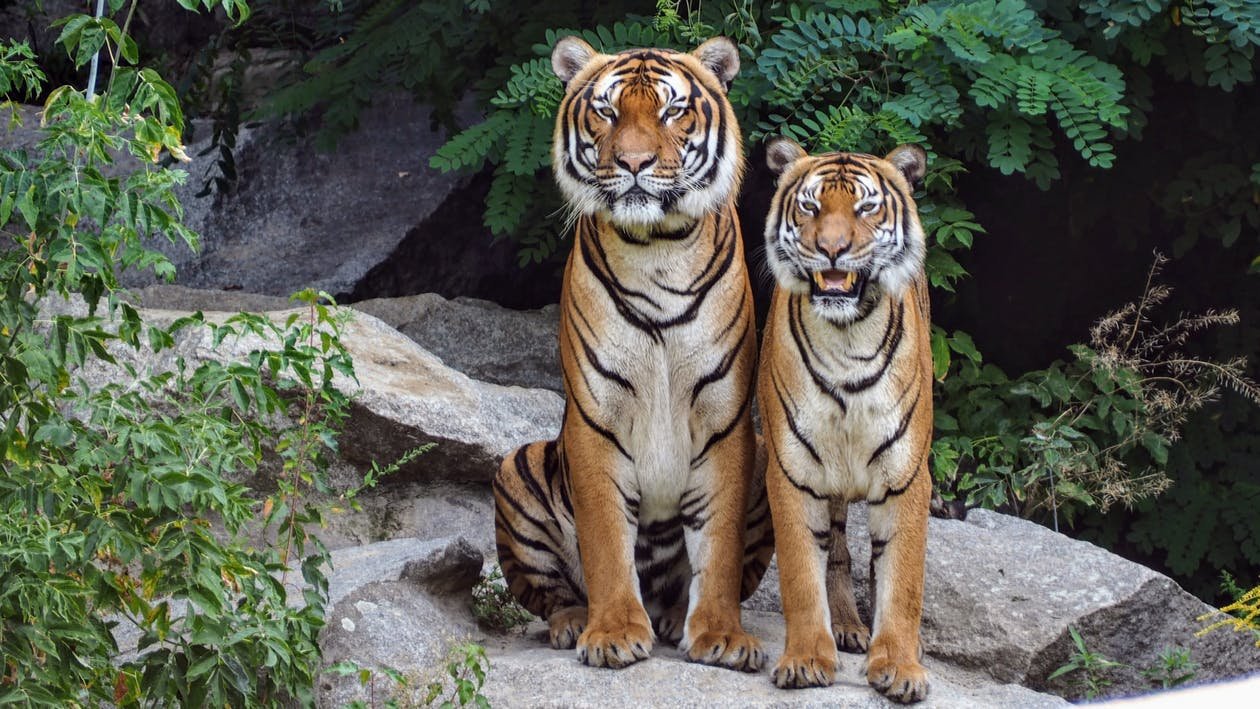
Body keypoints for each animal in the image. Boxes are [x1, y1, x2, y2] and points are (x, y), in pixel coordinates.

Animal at [486, 36, 771, 674]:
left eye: (672, 111)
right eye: (607, 111)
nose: (634, 163)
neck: (657, 247)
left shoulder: (726, 421)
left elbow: (717, 548)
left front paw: (721, 635)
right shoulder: (596, 419)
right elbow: (605, 540)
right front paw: (613, 632)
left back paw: (675, 616)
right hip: (518, 466)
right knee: (551, 593)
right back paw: (574, 622)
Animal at [750, 137, 932, 705]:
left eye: (866, 208)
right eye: (810, 207)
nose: (832, 249)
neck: (848, 337)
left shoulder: (907, 477)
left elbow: (902, 580)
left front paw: (899, 666)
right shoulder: (791, 472)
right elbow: (801, 575)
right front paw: (807, 658)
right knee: (835, 552)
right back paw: (847, 626)